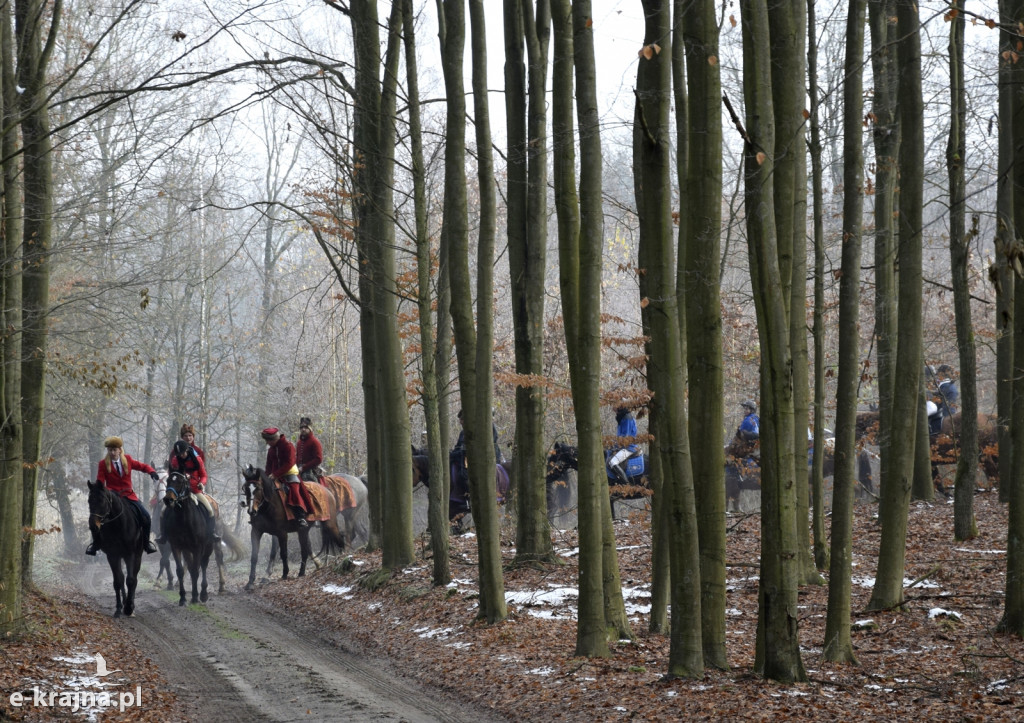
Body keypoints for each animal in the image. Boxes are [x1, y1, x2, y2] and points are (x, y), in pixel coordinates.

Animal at [86, 479, 144, 614]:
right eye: (89, 501)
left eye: (101, 500)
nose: (93, 526)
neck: (118, 525)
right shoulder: (113, 555)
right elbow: (118, 581)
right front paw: (119, 608)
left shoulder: (130, 554)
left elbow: (131, 580)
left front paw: (129, 608)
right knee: (121, 577)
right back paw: (124, 602)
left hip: (137, 555)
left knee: (134, 578)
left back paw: (130, 603)